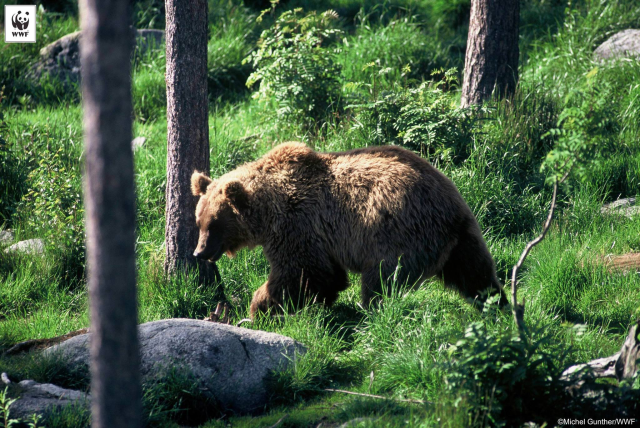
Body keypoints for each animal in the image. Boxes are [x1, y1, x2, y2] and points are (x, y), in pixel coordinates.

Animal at [190, 142, 504, 316]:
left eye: (214, 224)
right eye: (199, 221)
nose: (199, 252)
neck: (266, 214)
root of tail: (451, 210)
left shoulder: (297, 225)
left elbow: (300, 272)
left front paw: (260, 306)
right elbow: (325, 275)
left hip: (398, 234)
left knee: (381, 280)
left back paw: (372, 314)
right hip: (466, 238)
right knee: (476, 274)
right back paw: (496, 305)